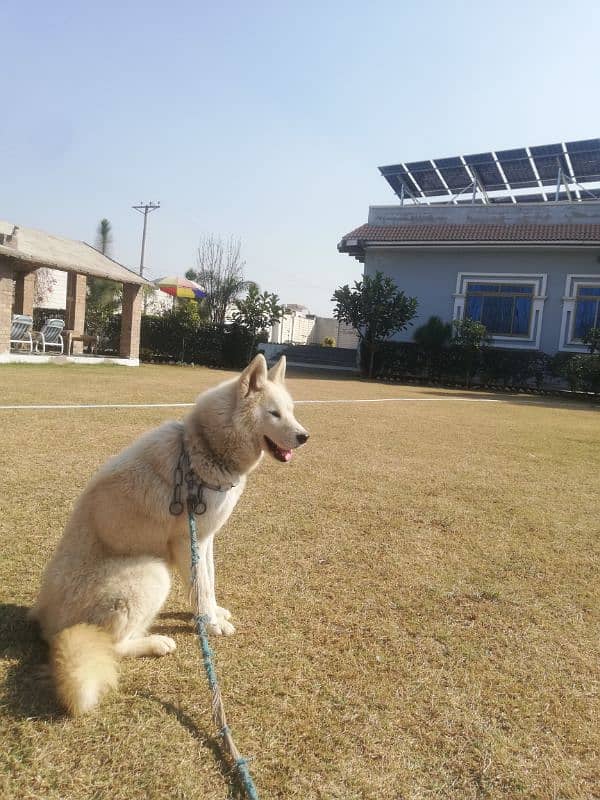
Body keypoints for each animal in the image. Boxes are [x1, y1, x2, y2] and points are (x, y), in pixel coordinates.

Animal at [30, 354, 310, 716]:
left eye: (291, 410)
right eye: (274, 413)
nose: (304, 436)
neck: (202, 448)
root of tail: (49, 624)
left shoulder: (204, 539)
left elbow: (208, 582)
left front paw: (212, 614)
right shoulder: (185, 542)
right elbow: (200, 586)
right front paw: (211, 624)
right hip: (152, 573)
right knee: (112, 646)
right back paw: (155, 642)